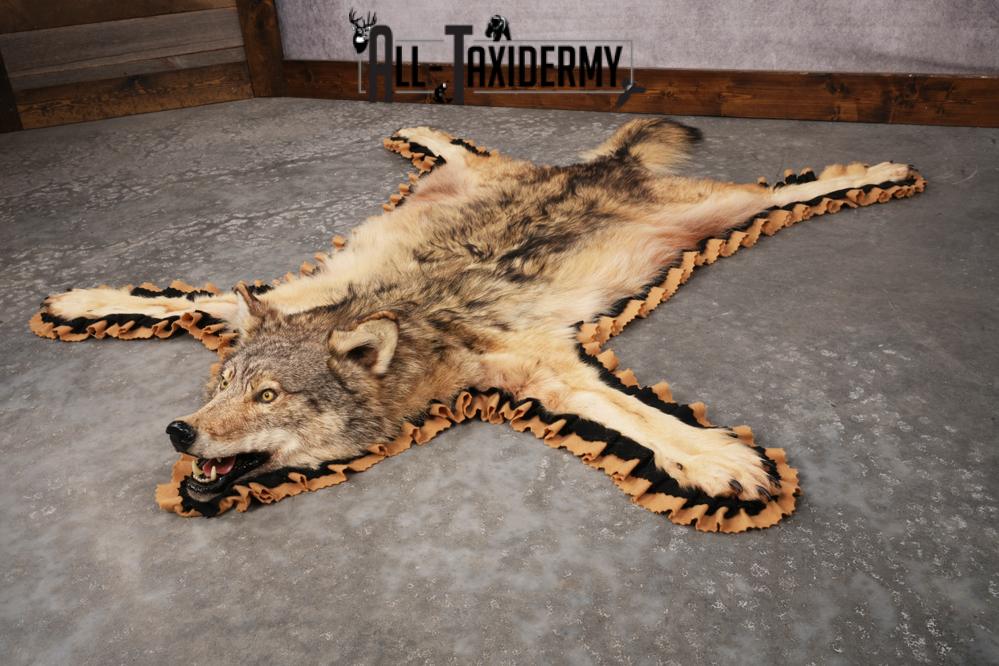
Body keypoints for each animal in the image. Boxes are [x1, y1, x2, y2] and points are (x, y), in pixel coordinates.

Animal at [34, 118, 919, 514]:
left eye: (269, 398)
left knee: (786, 186)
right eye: (221, 385)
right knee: (469, 149)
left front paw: (716, 459)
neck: (408, 324)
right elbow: (188, 297)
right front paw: (78, 301)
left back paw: (883, 171)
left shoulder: (551, 367)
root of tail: (594, 168)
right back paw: (419, 131)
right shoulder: (288, 300)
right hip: (484, 177)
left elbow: (638, 417)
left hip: (718, 212)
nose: (179, 432)